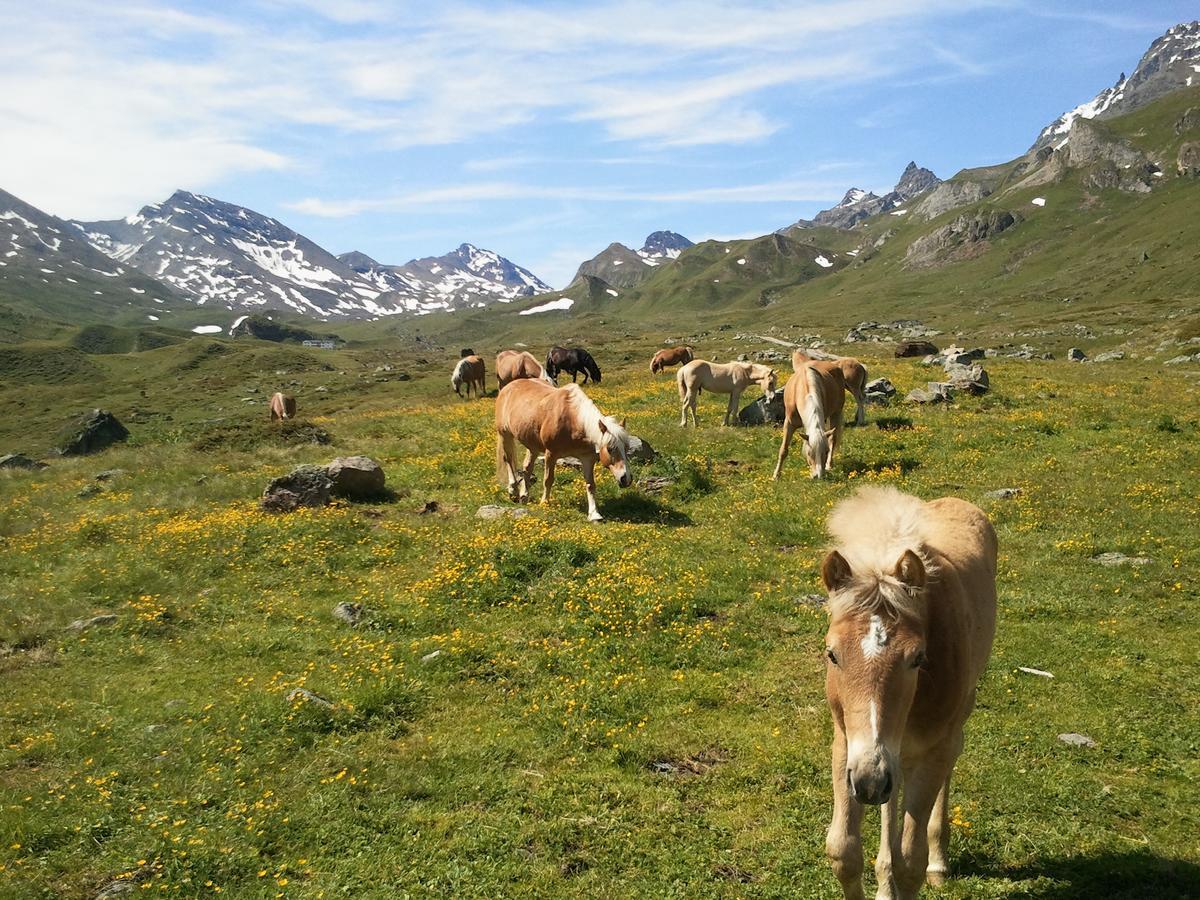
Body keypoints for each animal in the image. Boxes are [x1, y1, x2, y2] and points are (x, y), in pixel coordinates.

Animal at [492, 379, 633, 520]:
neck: (573, 420)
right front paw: (544, 503)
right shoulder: (551, 454)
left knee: (527, 466)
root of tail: (508, 387)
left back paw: (524, 496)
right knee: (509, 460)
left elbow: (590, 484)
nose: (626, 479)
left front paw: (594, 514)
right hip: (505, 434)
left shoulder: (587, 458)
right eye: (610, 449)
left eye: (626, 448)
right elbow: (548, 480)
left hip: (533, 445)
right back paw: (513, 491)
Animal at [820, 487, 998, 900]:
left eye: (917, 658)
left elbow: (911, 862)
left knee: (951, 757)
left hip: (954, 724)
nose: (869, 782)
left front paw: (920, 865)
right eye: (832, 654)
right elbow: (843, 850)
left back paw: (939, 862)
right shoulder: (847, 744)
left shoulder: (931, 750)